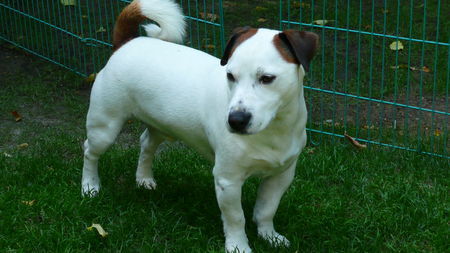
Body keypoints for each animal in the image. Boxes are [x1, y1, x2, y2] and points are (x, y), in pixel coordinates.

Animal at [81, 0, 320, 252]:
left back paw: (144, 179)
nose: (235, 120)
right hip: (104, 125)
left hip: (160, 124)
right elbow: (236, 218)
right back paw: (90, 186)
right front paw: (238, 246)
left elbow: (266, 210)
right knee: (90, 151)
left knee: (146, 144)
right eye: (230, 75)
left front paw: (269, 236)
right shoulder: (227, 180)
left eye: (267, 78)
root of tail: (125, 44)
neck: (273, 130)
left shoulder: (282, 175)